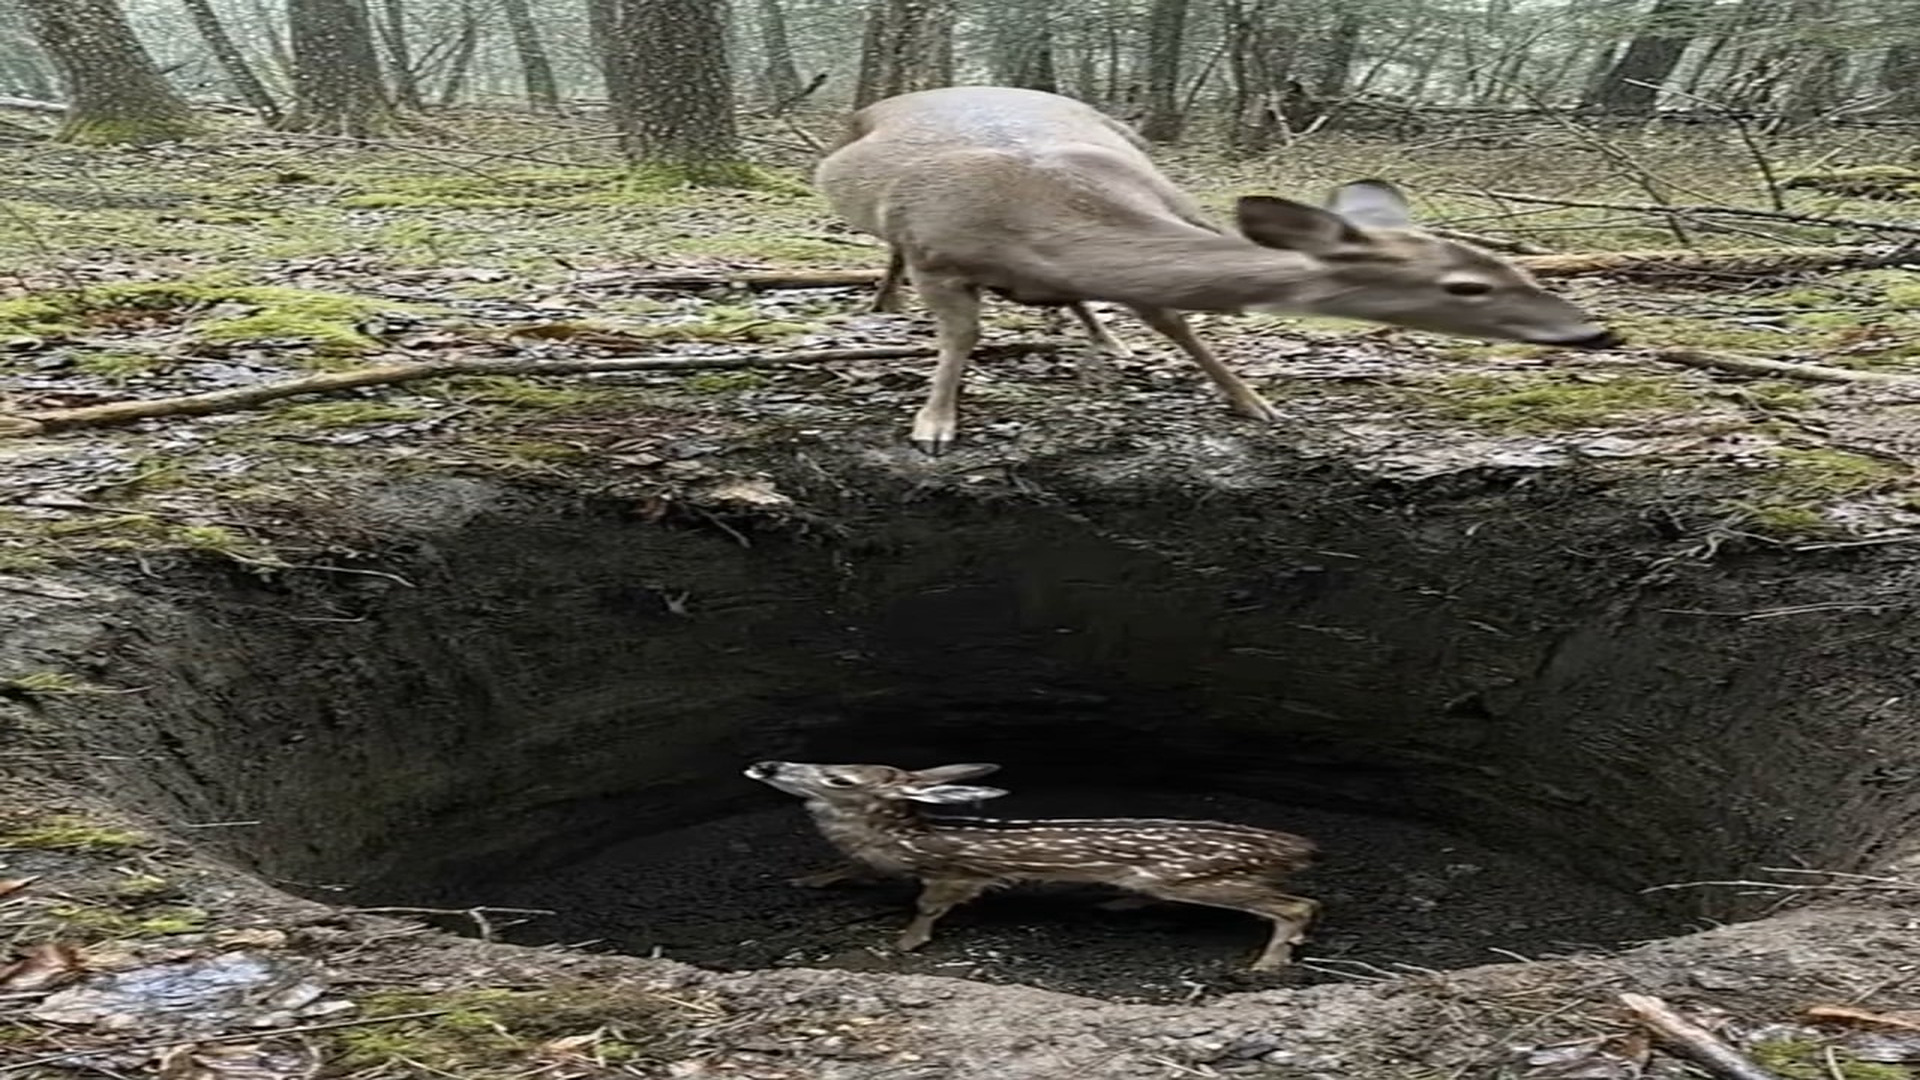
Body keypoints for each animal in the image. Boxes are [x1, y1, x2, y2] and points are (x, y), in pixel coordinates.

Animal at [744, 760, 1321, 971]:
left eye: (838, 777)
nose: (766, 763)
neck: (898, 840)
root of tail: (1301, 847)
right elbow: (850, 870)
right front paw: (810, 877)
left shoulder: (954, 874)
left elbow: (928, 907)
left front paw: (905, 944)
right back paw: (1118, 903)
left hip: (1187, 878)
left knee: (1299, 903)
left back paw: (1267, 964)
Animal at [812, 85, 1621, 455]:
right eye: (1467, 286)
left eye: (1503, 260)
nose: (1596, 333)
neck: (1034, 219)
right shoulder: (936, 253)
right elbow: (960, 339)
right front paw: (934, 425)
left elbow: (1178, 321)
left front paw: (1254, 402)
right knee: (888, 253)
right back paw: (881, 305)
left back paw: (1106, 338)